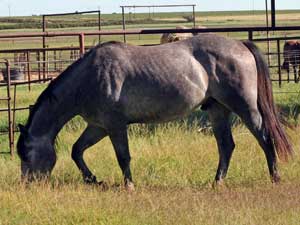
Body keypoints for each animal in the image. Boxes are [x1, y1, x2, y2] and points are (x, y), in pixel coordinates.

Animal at [17, 33, 292, 190]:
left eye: (27, 154)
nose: (28, 185)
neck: (90, 77)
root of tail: (240, 45)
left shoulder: (115, 125)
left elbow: (123, 157)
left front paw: (128, 186)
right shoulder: (98, 126)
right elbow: (77, 151)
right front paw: (94, 180)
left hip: (244, 106)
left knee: (264, 137)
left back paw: (275, 177)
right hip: (218, 110)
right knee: (226, 146)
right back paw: (217, 182)